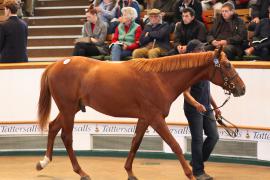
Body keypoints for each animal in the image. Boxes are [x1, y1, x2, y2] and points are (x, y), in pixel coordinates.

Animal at [35, 49, 245, 180]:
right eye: (227, 65)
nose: (242, 88)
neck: (160, 78)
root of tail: (55, 65)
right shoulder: (156, 118)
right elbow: (175, 145)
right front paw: (190, 173)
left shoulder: (145, 118)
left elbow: (135, 143)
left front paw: (129, 172)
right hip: (68, 109)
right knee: (66, 137)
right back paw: (81, 172)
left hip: (71, 109)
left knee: (53, 127)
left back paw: (44, 162)